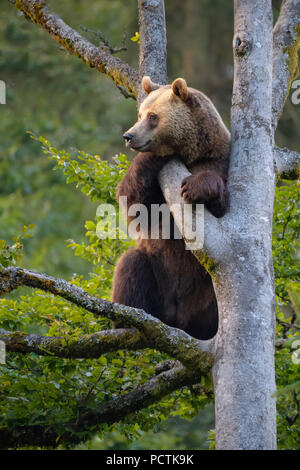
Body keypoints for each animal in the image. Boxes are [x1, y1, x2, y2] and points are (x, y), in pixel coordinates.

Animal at [112, 77, 230, 340]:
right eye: (140, 113)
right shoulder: (153, 189)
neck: (191, 154)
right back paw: (127, 320)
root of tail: (177, 318)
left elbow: (222, 207)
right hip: (157, 275)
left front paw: (195, 187)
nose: (128, 135)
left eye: (153, 116)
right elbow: (134, 204)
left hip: (205, 289)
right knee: (132, 266)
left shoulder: (220, 163)